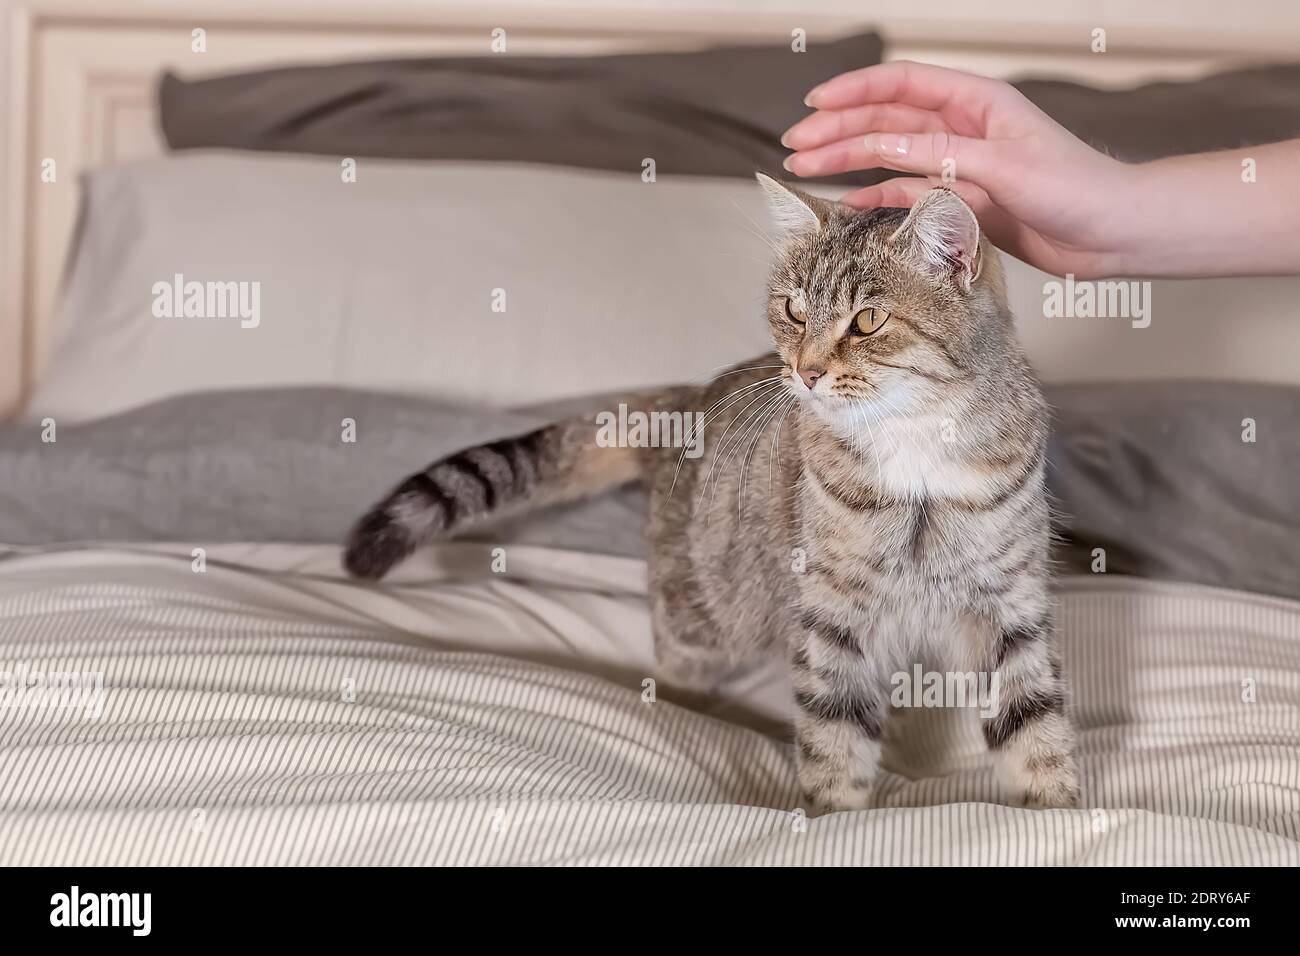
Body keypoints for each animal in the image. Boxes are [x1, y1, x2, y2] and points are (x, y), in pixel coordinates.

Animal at [343, 175, 1076, 811]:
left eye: (867, 320)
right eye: (794, 310)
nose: (806, 373)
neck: (916, 457)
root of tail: (686, 403)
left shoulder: (1010, 606)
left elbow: (1034, 728)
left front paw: (1056, 809)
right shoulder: (830, 620)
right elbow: (834, 743)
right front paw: (832, 819)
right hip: (701, 621)